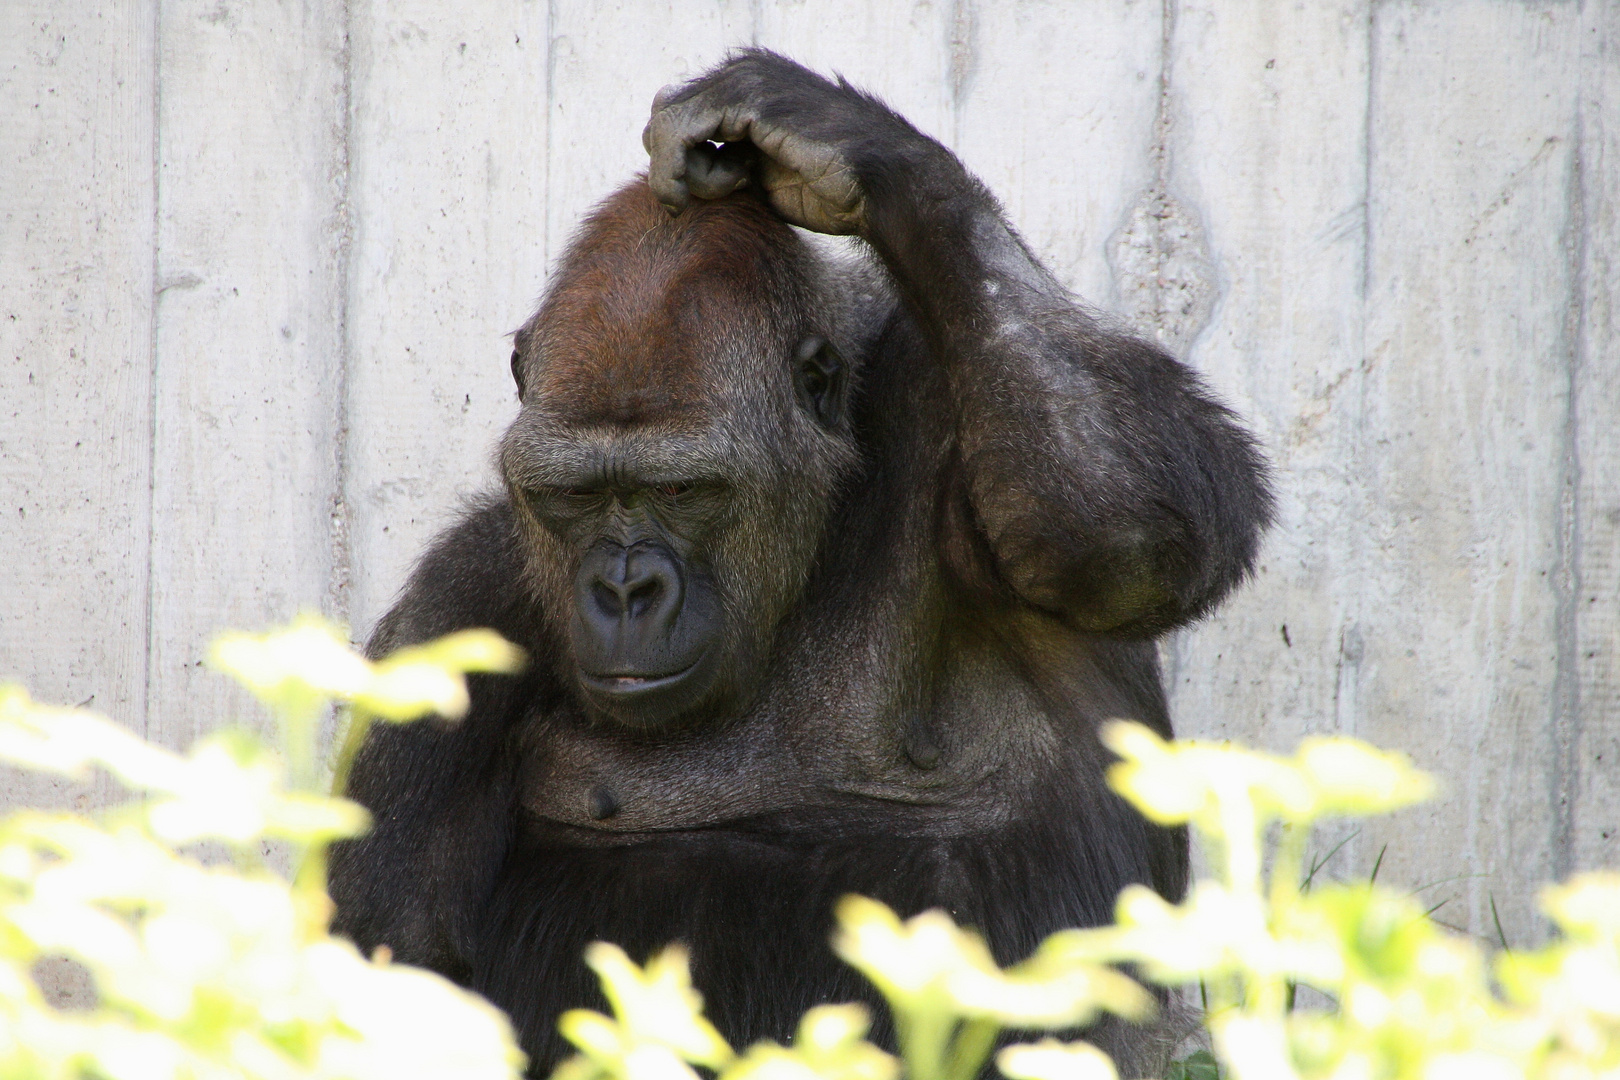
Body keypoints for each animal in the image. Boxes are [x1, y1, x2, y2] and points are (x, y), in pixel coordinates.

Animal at [335, 50, 1270, 1080]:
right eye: (577, 496)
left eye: (684, 490)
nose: (623, 589)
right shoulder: (449, 619)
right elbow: (390, 966)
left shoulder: (947, 423)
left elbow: (1130, 526)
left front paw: (841, 144)